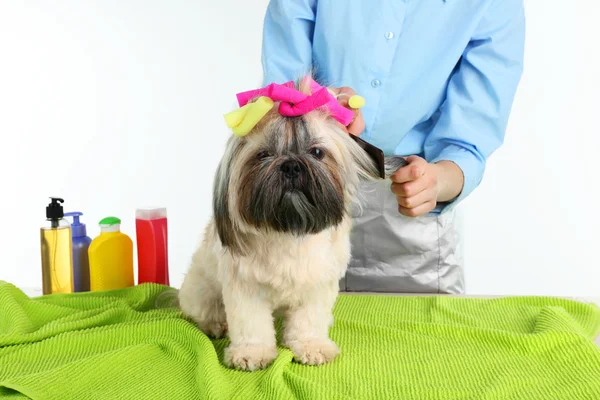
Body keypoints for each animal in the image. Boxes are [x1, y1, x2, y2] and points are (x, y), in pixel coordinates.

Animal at [176, 77, 406, 372]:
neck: (290, 230)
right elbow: (251, 323)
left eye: (317, 152)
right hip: (200, 291)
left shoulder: (317, 285)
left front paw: (312, 346)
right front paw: (252, 352)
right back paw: (215, 325)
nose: (291, 166)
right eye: (263, 154)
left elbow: (309, 320)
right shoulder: (246, 288)